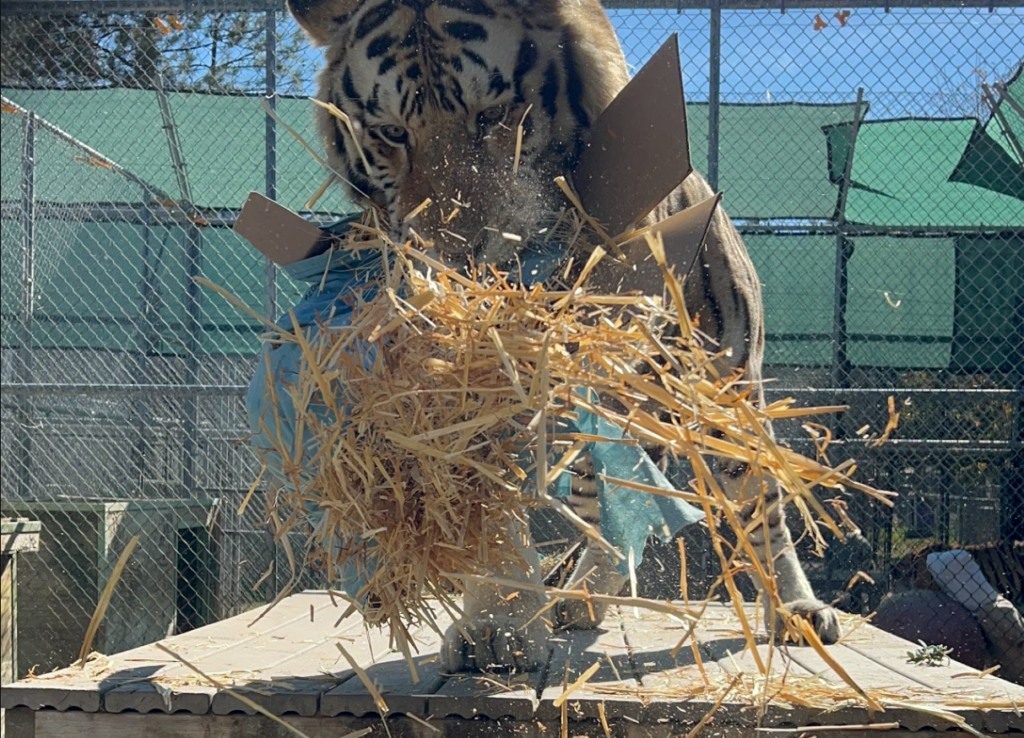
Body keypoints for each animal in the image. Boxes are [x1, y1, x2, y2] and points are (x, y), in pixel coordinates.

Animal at [286, 0, 842, 673]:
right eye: (391, 133)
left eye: (494, 116)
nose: (455, 261)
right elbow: (490, 495)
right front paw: (497, 621)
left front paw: (501, 625)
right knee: (607, 508)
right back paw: (580, 598)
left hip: (724, 390)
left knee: (762, 503)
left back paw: (795, 610)